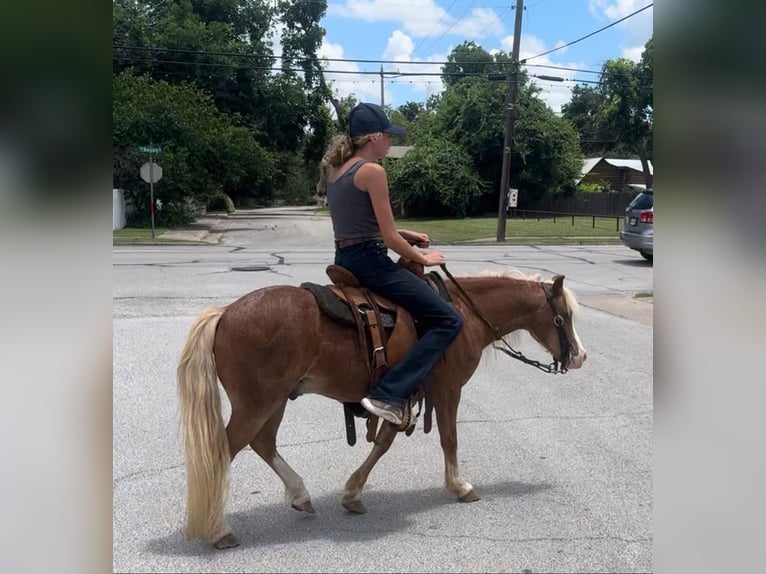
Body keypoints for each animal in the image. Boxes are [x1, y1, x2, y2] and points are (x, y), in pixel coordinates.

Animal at [178, 268, 588, 552]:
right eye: (563, 316)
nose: (580, 356)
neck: (463, 315)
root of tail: (225, 313)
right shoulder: (447, 389)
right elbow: (450, 439)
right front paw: (460, 486)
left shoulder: (400, 394)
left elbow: (384, 442)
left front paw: (353, 494)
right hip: (257, 402)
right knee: (225, 451)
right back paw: (219, 529)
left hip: (274, 400)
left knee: (263, 444)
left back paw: (299, 495)